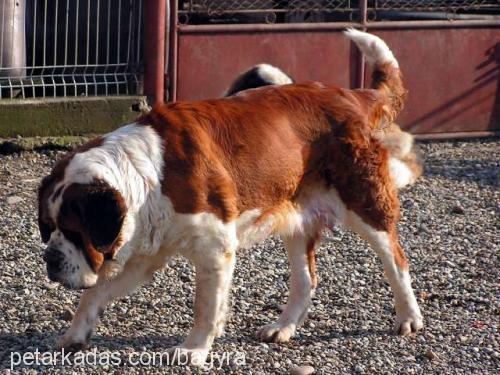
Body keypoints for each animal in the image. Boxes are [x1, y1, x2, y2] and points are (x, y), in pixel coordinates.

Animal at [37, 30, 424, 364]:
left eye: (73, 230)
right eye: (48, 228)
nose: (50, 259)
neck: (149, 175)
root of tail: (351, 94)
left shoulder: (214, 247)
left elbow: (205, 307)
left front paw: (194, 349)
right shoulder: (146, 253)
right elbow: (95, 292)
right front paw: (75, 334)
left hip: (365, 204)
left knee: (396, 259)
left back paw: (409, 317)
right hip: (297, 215)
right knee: (306, 280)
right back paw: (283, 327)